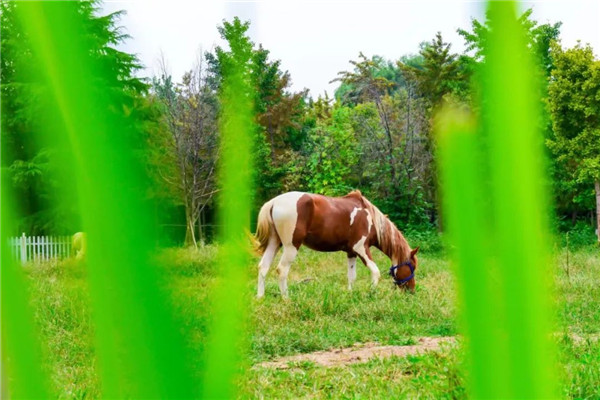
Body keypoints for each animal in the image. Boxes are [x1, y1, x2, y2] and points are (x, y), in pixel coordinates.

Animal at [255, 190, 420, 296]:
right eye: (412, 267)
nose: (411, 290)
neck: (371, 220)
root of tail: (274, 202)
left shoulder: (351, 252)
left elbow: (351, 276)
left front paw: (350, 295)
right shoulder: (361, 249)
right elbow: (375, 272)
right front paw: (372, 294)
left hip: (275, 243)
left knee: (263, 267)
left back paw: (260, 297)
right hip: (291, 247)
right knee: (282, 270)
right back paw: (286, 298)